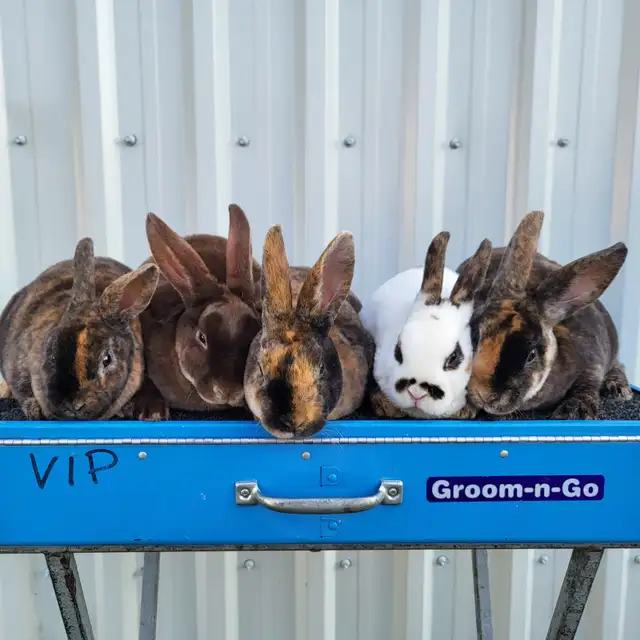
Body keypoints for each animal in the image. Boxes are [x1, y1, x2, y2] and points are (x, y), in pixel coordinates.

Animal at [461, 209, 631, 420]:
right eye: (475, 338)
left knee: (618, 365)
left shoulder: (593, 362)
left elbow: (588, 385)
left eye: (531, 356)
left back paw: (620, 389)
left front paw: (573, 412)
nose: (485, 395)